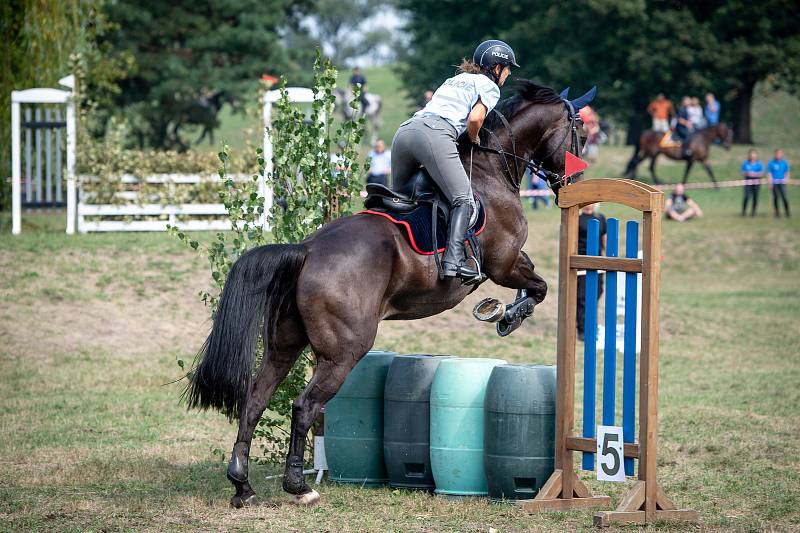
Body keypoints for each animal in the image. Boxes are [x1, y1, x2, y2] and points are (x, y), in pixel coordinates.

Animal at [183, 80, 592, 508]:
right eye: (580, 134)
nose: (573, 187)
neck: (491, 170)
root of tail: (307, 249)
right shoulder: (503, 263)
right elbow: (540, 286)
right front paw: (506, 314)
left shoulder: (510, 261)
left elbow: (535, 280)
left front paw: (504, 311)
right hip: (344, 351)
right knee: (305, 405)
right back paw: (299, 487)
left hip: (285, 343)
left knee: (255, 399)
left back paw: (242, 486)